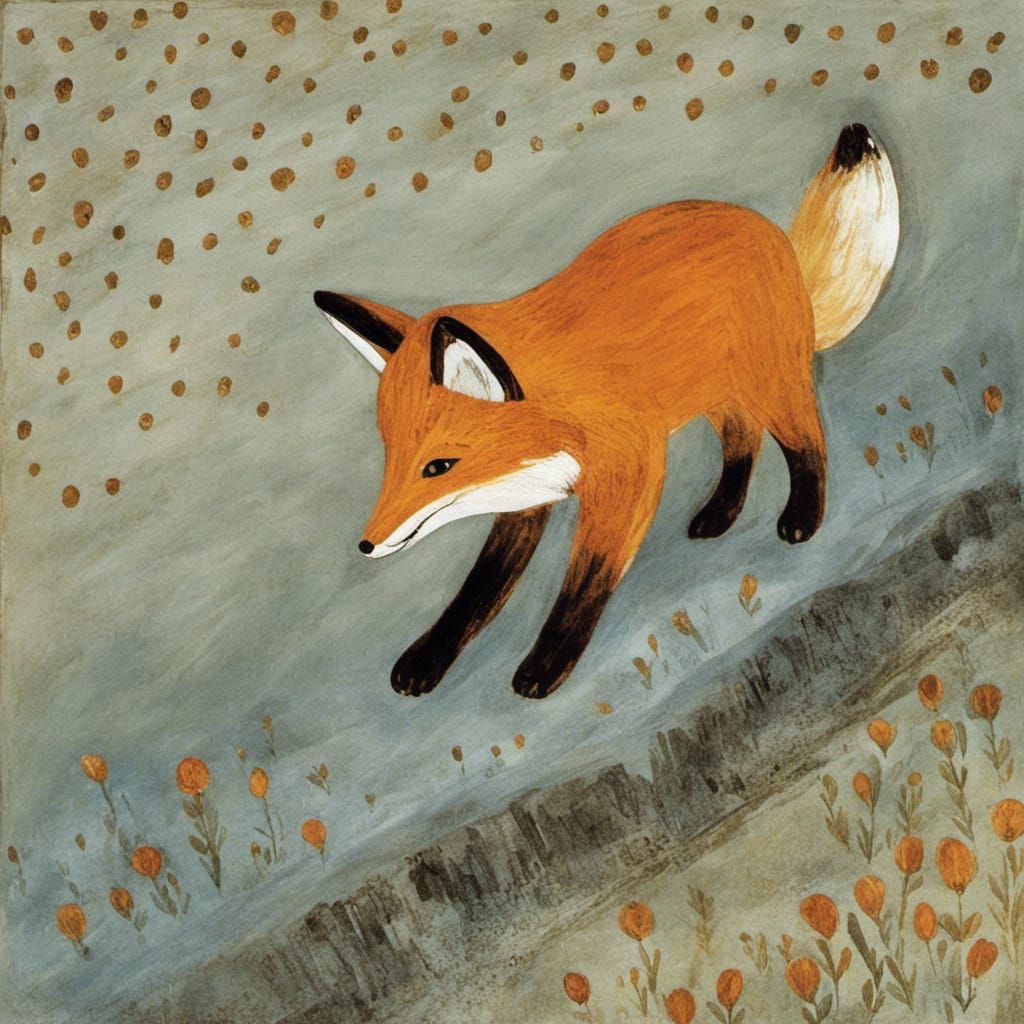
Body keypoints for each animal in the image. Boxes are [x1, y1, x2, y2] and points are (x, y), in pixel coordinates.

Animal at [314, 123, 899, 700]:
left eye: (437, 466)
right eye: (390, 457)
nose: (365, 545)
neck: (564, 408)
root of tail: (769, 230)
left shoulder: (630, 475)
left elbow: (586, 581)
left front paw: (547, 665)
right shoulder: (526, 499)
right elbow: (479, 590)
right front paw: (429, 657)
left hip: (769, 388)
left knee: (806, 442)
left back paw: (803, 517)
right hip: (714, 397)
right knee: (742, 444)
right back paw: (720, 512)